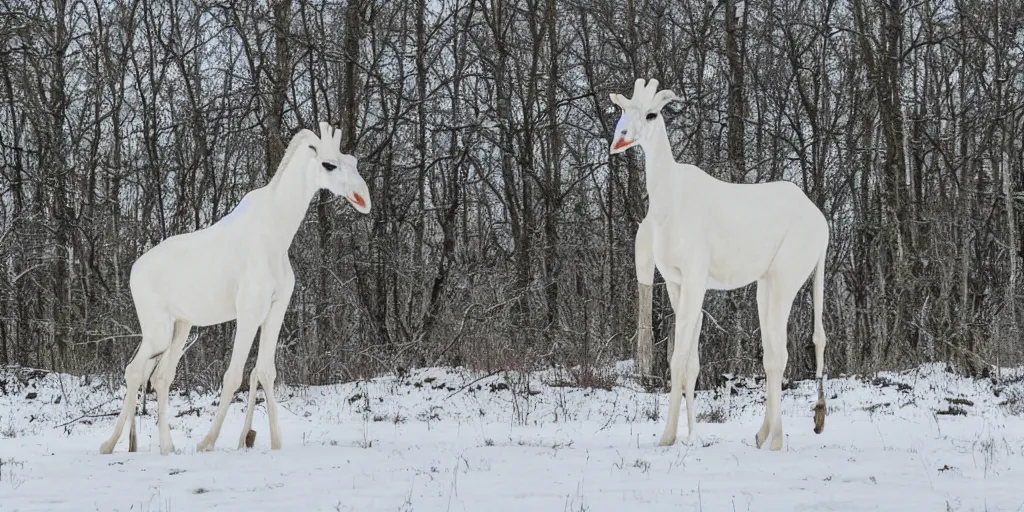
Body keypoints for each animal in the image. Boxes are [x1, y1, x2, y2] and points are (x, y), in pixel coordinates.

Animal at [98, 123, 372, 456]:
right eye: (328, 164)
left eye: (354, 161)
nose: (363, 197)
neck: (280, 234)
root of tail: (132, 272)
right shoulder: (250, 310)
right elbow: (233, 375)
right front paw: (208, 441)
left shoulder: (277, 308)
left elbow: (265, 371)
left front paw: (275, 442)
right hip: (157, 328)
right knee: (134, 370)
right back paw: (110, 444)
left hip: (180, 326)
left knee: (160, 376)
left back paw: (165, 446)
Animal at [610, 77, 827, 450]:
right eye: (622, 110)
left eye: (652, 114)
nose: (620, 137)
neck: (665, 204)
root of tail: (825, 225)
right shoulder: (674, 280)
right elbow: (688, 361)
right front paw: (686, 435)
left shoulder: (696, 276)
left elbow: (679, 358)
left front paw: (669, 436)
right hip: (765, 283)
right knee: (771, 355)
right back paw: (762, 434)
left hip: (786, 276)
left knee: (781, 353)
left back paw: (778, 440)